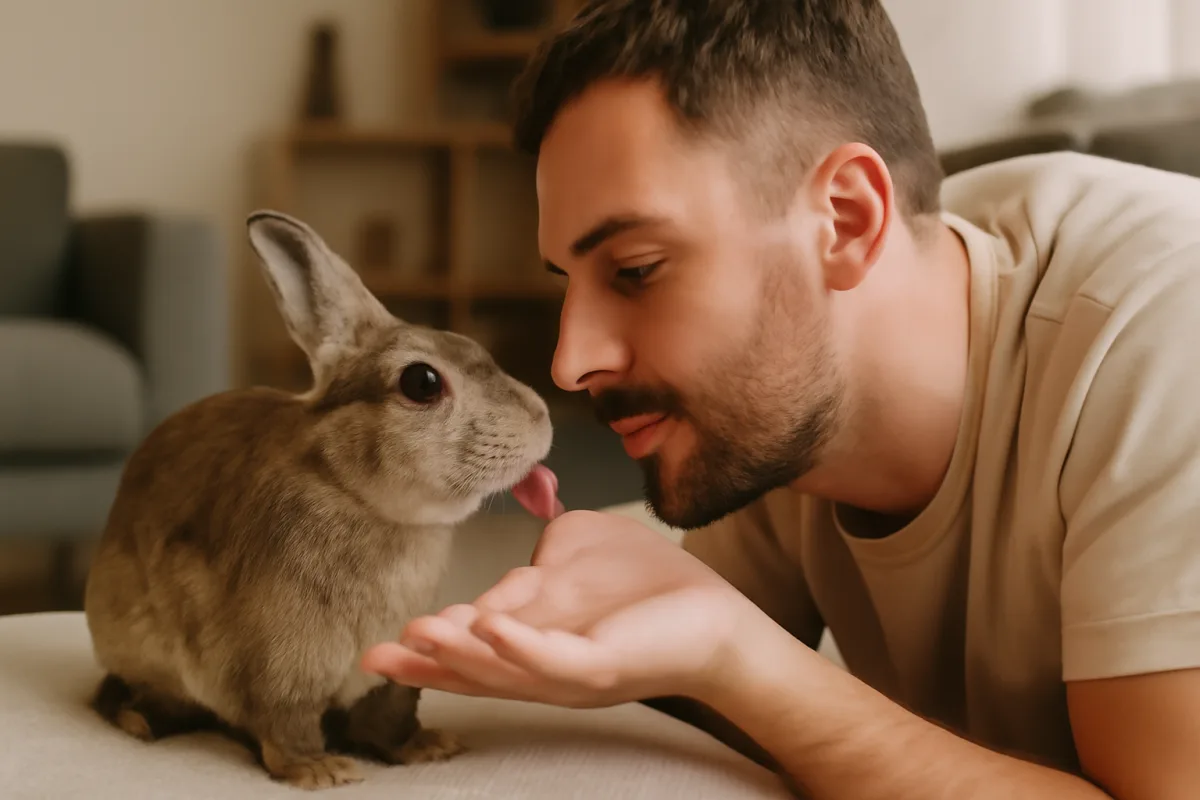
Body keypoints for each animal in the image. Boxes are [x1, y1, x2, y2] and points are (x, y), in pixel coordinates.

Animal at [83, 209, 557, 790]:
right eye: (422, 382)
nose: (541, 419)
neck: (351, 488)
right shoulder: (284, 665)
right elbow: (288, 723)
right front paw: (321, 771)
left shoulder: (390, 670)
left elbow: (390, 717)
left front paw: (427, 747)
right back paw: (140, 721)